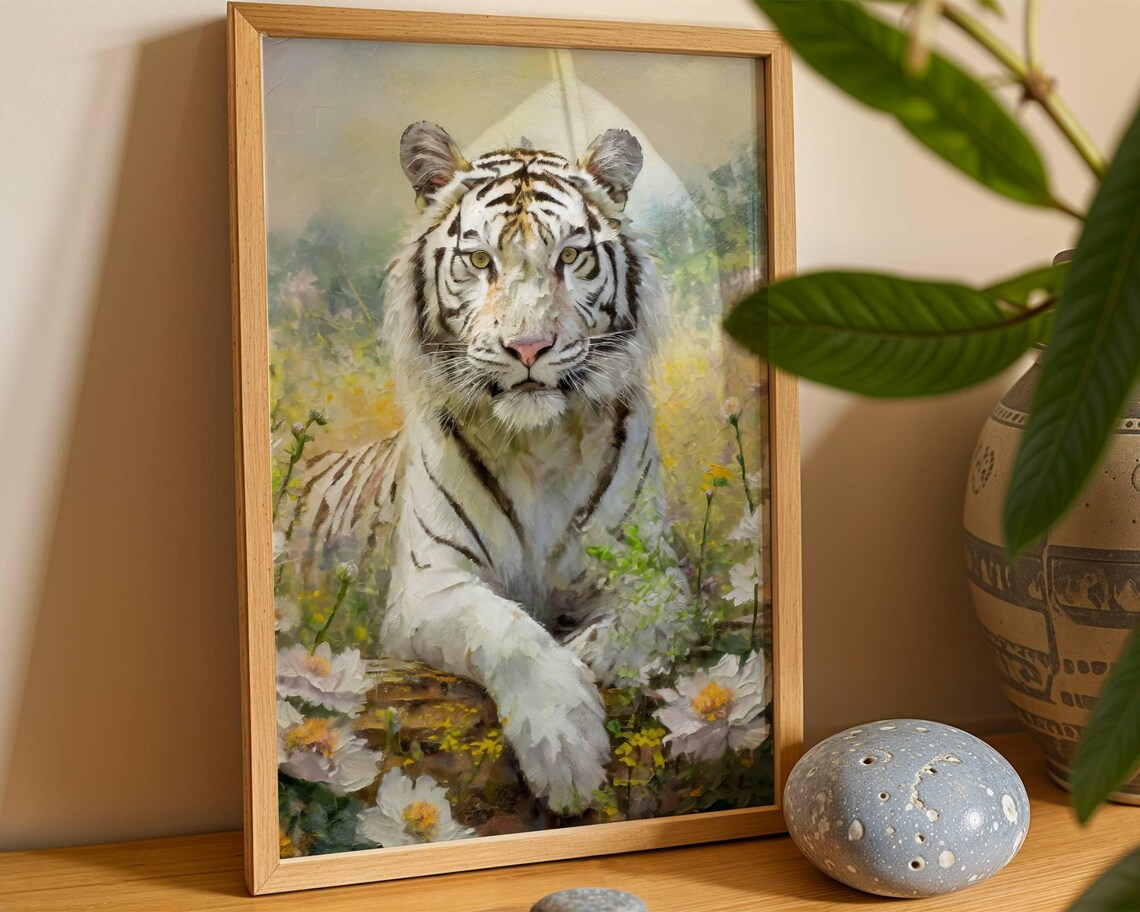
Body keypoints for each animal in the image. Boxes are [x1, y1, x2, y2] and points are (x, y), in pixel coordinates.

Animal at [289, 122, 694, 814]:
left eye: (570, 258)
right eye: (480, 262)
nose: (528, 347)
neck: (540, 448)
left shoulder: (655, 571)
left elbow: (644, 619)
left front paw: (593, 659)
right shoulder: (429, 586)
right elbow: (507, 627)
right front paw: (566, 744)